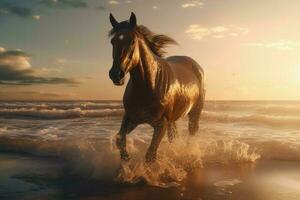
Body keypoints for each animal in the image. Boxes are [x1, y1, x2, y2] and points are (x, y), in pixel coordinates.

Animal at [109, 12, 205, 162]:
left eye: (132, 41)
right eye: (113, 41)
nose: (116, 74)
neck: (147, 87)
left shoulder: (161, 124)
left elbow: (150, 156)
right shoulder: (131, 118)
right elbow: (120, 139)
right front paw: (126, 158)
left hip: (194, 113)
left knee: (192, 132)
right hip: (172, 119)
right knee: (173, 136)